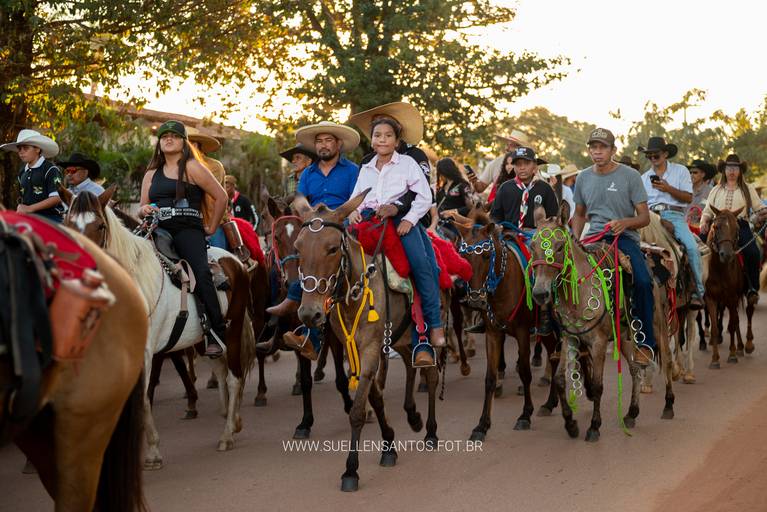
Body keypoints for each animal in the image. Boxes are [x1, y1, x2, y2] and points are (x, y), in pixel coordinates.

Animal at [61, 189, 256, 469]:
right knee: (220, 371)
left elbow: (143, 399)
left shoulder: (143, 353)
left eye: (99, 226)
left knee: (233, 376)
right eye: (67, 225)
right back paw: (233, 419)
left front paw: (152, 451)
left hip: (233, 329)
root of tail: (235, 262)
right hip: (206, 341)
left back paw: (228, 433)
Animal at [292, 190, 441, 492]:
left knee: (430, 373)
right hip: (400, 338)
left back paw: (431, 431)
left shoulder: (372, 348)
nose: (310, 313)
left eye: (332, 249)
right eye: (298, 248)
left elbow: (359, 409)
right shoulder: (358, 351)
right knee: (410, 365)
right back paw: (413, 415)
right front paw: (388, 445)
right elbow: (375, 397)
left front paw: (351, 469)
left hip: (426, 331)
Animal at [450, 212, 560, 442]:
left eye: (485, 256)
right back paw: (549, 402)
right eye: (463, 257)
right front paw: (482, 425)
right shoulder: (493, 333)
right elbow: (490, 378)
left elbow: (525, 372)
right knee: (554, 357)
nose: (475, 299)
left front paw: (525, 415)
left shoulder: (522, 333)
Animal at [530, 205, 675, 441]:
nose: (540, 293)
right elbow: (559, 379)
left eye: (559, 247)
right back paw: (631, 413)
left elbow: (598, 385)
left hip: (657, 324)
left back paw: (669, 405)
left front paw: (594, 426)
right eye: (532, 246)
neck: (580, 292)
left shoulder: (597, 343)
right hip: (626, 336)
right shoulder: (570, 338)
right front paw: (570, 424)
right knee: (635, 369)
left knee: (667, 359)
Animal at [704, 206, 754, 368]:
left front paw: (732, 355)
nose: (726, 255)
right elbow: (714, 328)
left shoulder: (732, 297)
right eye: (716, 227)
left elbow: (732, 325)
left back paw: (747, 344)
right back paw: (740, 346)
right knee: (736, 318)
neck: (720, 269)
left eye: (736, 228)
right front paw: (714, 359)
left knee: (749, 310)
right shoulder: (711, 298)